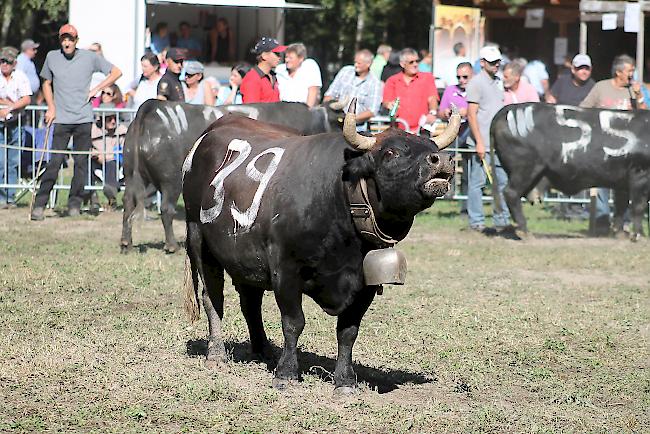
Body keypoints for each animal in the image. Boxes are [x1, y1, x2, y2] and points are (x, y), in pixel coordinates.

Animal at [119, 99, 342, 253]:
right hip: (170, 181)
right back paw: (171, 245)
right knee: (166, 208)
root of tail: (154, 107)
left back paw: (126, 244)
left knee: (128, 203)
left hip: (132, 176)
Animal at [180, 101, 458, 394]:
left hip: (244, 256)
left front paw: (345, 381)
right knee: (212, 298)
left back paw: (263, 350)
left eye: (431, 146)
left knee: (250, 302)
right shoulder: (285, 271)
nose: (442, 160)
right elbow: (293, 322)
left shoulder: (364, 285)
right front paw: (286, 373)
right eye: (390, 152)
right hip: (199, 240)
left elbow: (348, 331)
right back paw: (217, 354)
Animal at [492, 103, 648, 241]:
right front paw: (638, 235)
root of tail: (506, 110)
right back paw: (525, 232)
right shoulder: (640, 174)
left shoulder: (622, 181)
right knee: (510, 193)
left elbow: (621, 205)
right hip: (526, 168)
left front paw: (620, 233)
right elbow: (638, 206)